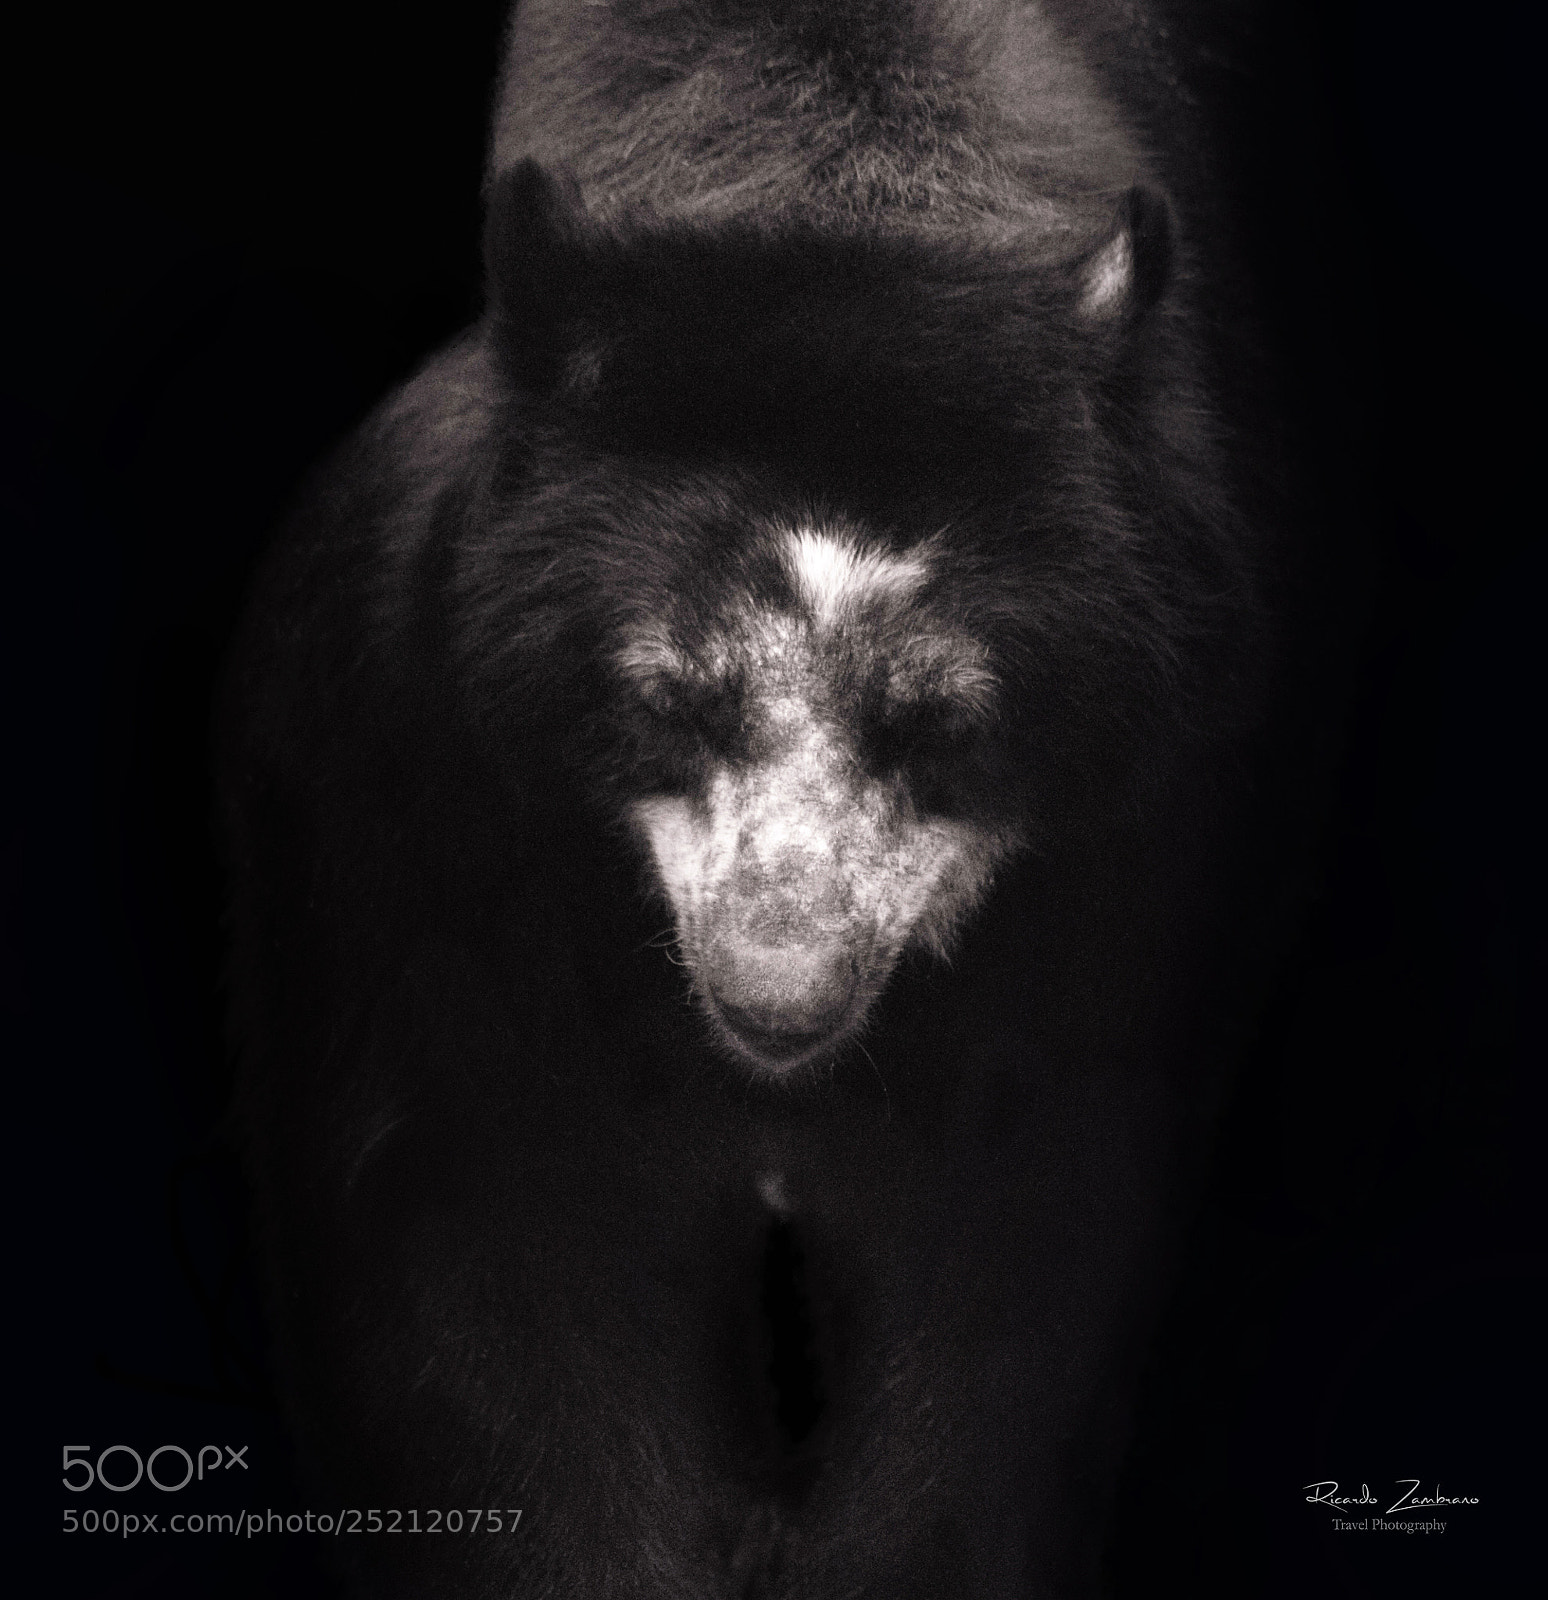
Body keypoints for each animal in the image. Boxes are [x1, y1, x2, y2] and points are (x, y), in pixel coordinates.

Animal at [221, 2, 1313, 1595]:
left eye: (946, 722)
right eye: (670, 699)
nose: (778, 991)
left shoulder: (1155, 829)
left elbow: (1013, 1275)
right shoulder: (417, 789)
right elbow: (493, 1276)